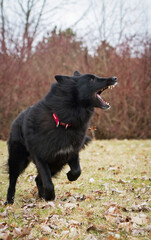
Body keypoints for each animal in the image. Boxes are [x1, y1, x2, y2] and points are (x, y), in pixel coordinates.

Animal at [5, 70, 117, 203]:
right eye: (91, 79)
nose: (115, 78)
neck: (63, 122)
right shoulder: (40, 157)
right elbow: (48, 182)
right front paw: (50, 196)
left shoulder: (70, 152)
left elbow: (77, 171)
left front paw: (69, 177)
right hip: (18, 159)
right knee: (13, 180)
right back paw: (9, 201)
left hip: (57, 163)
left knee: (38, 179)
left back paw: (41, 196)